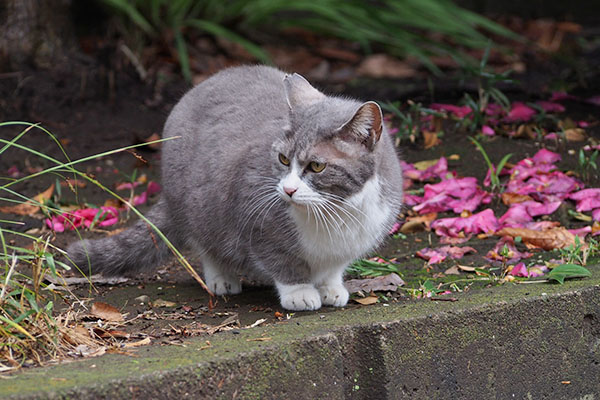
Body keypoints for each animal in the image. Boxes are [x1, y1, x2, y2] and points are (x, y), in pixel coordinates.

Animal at [68, 65, 400, 310]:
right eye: (283, 159)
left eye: (317, 166)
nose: (288, 190)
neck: (335, 209)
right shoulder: (257, 219)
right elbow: (282, 260)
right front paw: (300, 292)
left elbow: (333, 267)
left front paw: (331, 287)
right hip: (200, 206)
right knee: (206, 243)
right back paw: (222, 278)